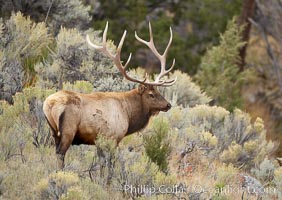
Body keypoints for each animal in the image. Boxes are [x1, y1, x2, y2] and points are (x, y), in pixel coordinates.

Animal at [42, 22, 176, 169]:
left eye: (159, 91)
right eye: (151, 94)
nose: (168, 105)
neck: (128, 115)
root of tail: (50, 104)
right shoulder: (113, 137)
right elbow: (109, 164)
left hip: (53, 131)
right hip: (68, 130)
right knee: (60, 154)